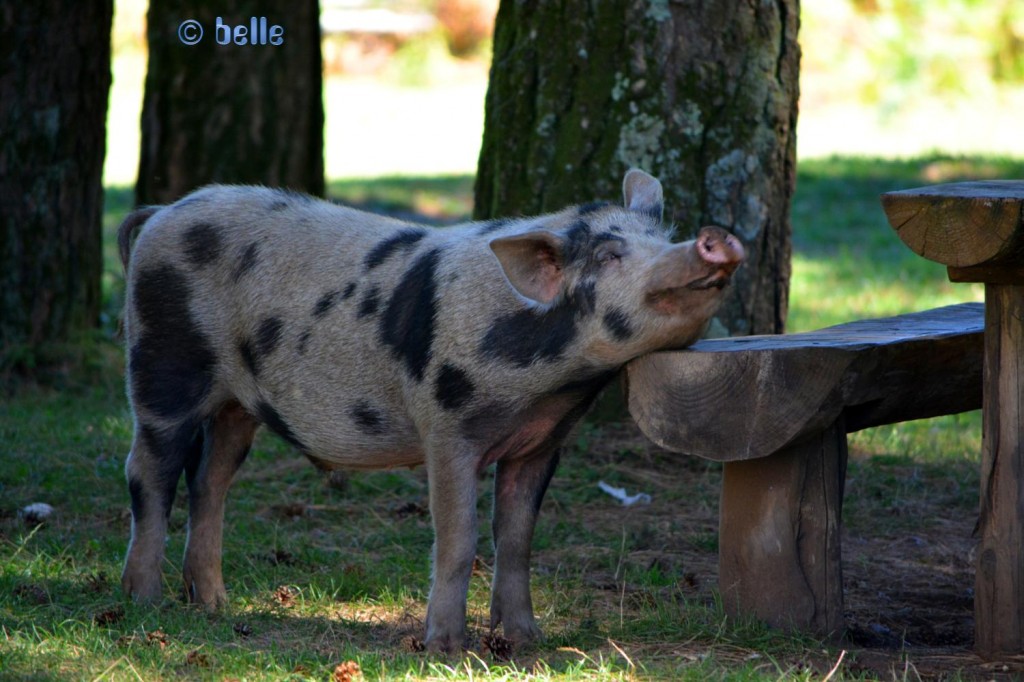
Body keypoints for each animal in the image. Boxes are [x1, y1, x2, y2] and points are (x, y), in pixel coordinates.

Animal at [117, 166, 745, 651]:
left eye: (663, 235)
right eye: (611, 255)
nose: (714, 239)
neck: (550, 387)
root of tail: (161, 213)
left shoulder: (543, 442)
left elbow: (517, 538)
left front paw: (526, 642)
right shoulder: (446, 426)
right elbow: (459, 537)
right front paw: (446, 648)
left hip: (236, 407)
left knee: (210, 481)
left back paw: (214, 606)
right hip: (161, 365)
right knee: (149, 472)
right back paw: (144, 603)